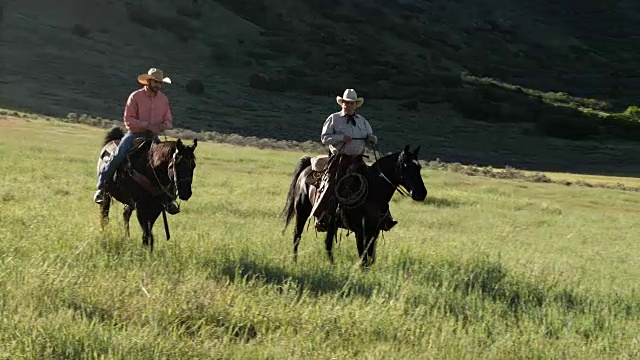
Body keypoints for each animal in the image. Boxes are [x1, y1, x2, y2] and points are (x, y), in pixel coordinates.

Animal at [282, 145, 428, 266]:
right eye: (405, 166)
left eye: (419, 167)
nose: (421, 193)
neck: (373, 191)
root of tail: (306, 168)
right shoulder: (359, 230)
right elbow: (363, 255)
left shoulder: (374, 231)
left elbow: (370, 256)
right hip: (302, 212)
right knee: (297, 236)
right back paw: (295, 260)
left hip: (331, 224)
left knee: (328, 244)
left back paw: (332, 265)